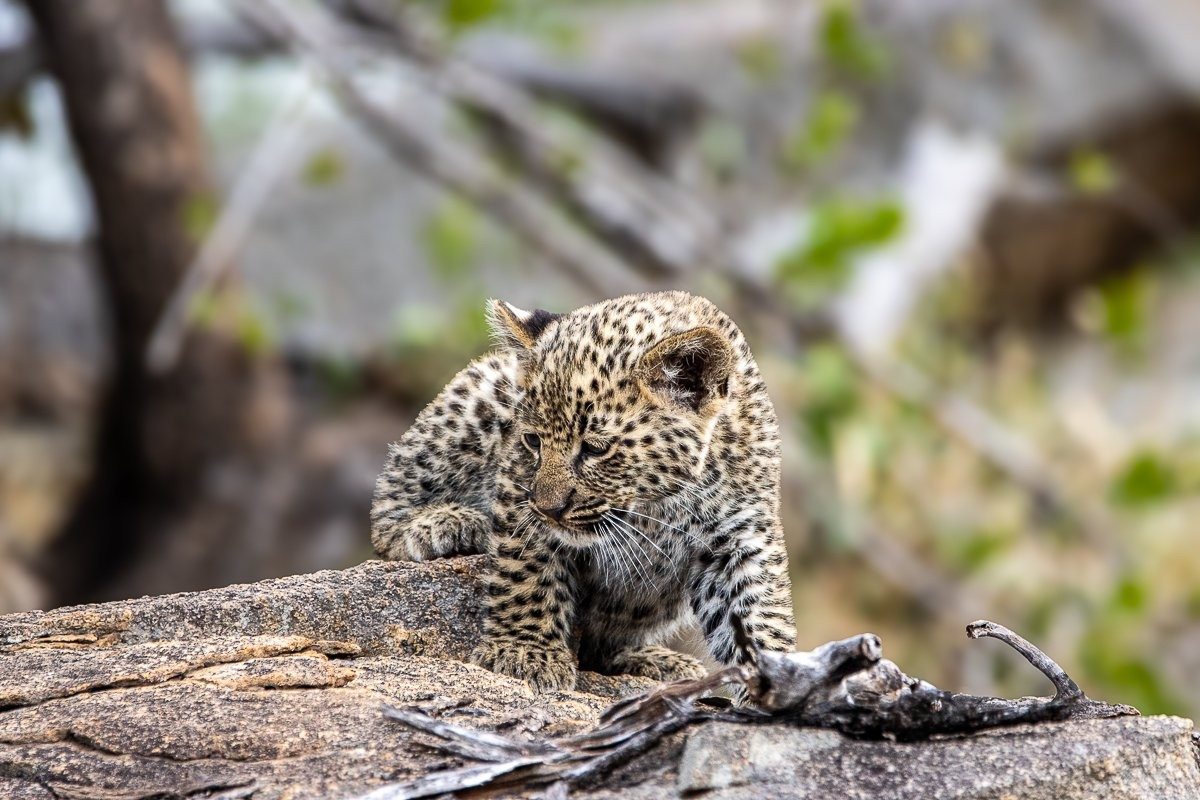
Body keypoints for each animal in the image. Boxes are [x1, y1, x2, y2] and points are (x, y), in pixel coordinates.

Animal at [370, 291, 796, 692]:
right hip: (484, 391)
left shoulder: (740, 535)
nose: (549, 509)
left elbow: (759, 616)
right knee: (389, 503)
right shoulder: (518, 487)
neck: (660, 502)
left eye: (594, 448)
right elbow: (526, 572)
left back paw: (654, 661)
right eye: (532, 441)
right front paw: (527, 651)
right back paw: (446, 523)